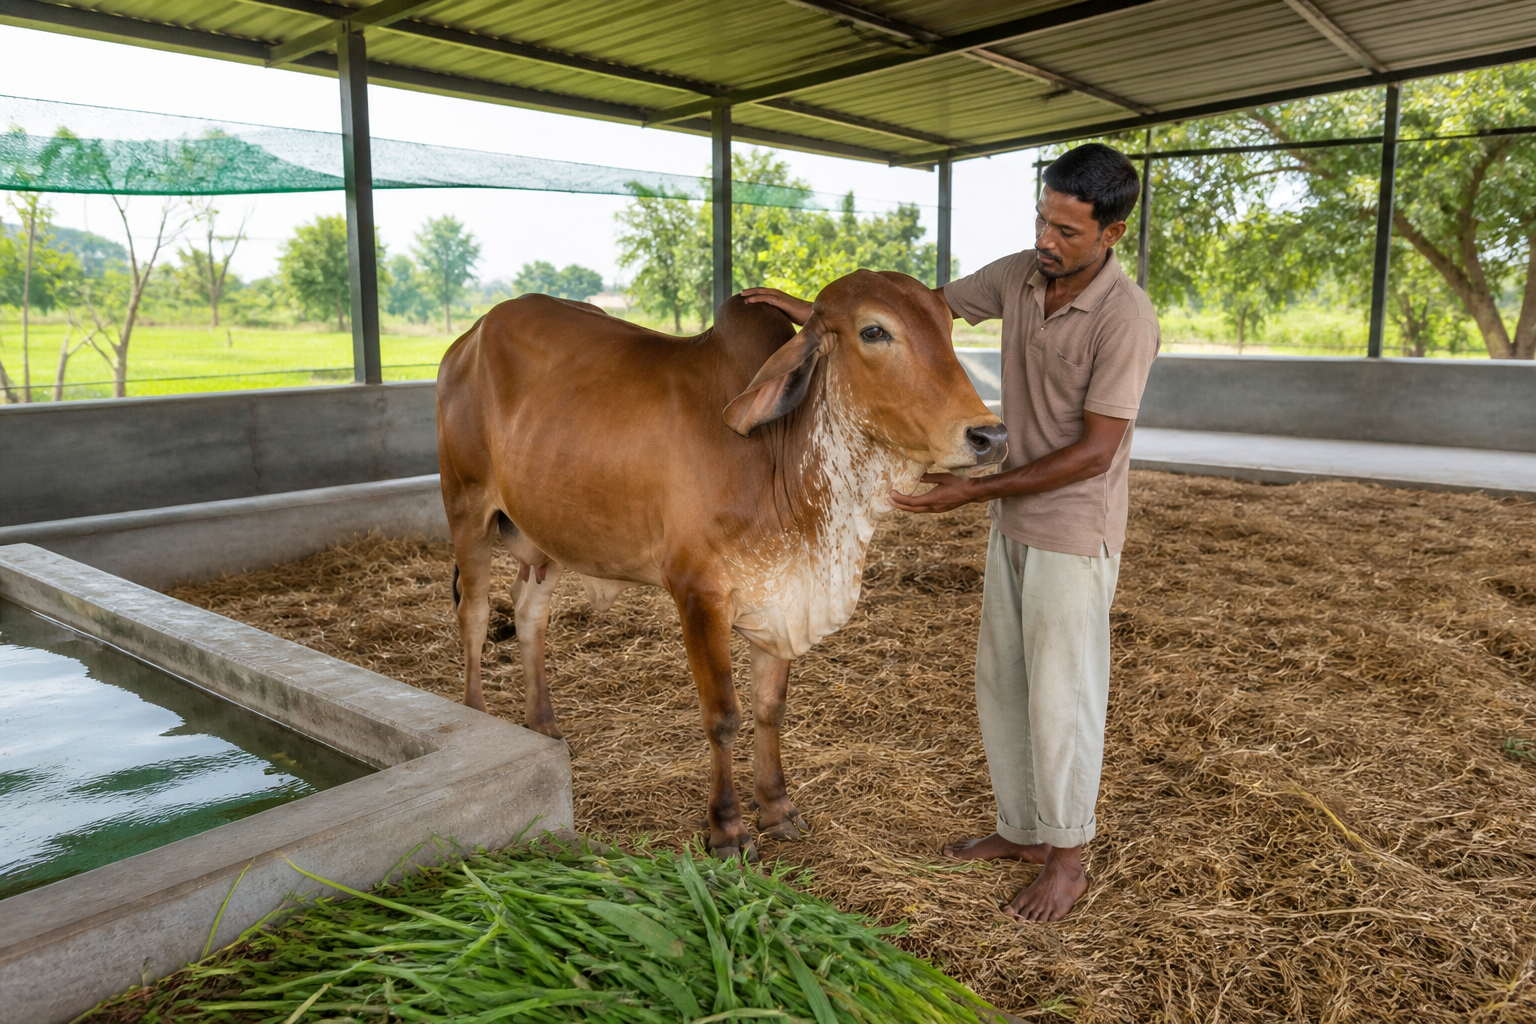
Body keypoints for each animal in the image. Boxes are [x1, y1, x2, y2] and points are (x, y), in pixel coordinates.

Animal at [436, 270, 1006, 859]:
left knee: (530, 614)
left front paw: (777, 809)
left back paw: (543, 727)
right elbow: (724, 716)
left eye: (947, 326)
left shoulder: (782, 595)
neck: (781, 461)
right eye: (875, 331)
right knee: (475, 615)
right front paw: (727, 828)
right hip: (466, 505)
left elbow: (769, 707)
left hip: (545, 533)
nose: (989, 436)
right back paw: (480, 716)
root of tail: (469, 339)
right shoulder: (698, 596)